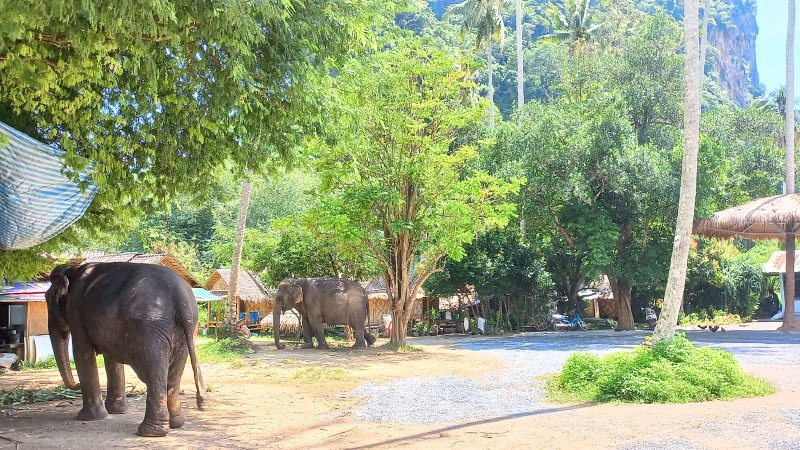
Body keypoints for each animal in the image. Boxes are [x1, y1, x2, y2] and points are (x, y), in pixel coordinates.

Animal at [45, 262, 206, 437]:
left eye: (46, 299)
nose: (76, 385)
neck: (73, 269)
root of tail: (181, 298)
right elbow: (112, 359)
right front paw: (116, 411)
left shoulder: (76, 312)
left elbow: (82, 352)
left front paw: (89, 418)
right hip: (185, 332)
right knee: (173, 377)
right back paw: (175, 424)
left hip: (150, 330)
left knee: (155, 374)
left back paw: (149, 432)